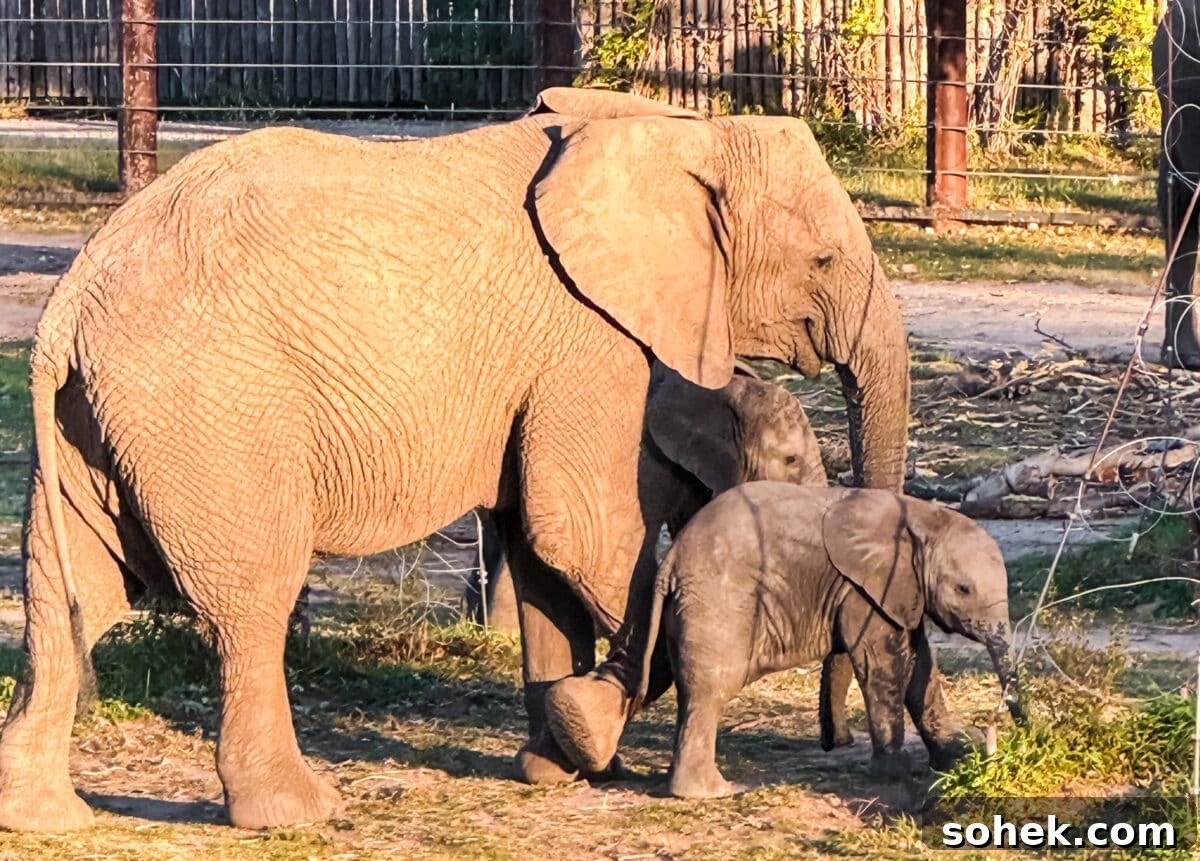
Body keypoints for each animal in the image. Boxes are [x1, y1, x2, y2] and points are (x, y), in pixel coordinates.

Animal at [3, 86, 909, 832]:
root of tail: (70, 301)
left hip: (97, 422)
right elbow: (580, 532)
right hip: (209, 407)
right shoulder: (586, 340)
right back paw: (298, 812)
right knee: (249, 599)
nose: (846, 747)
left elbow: (542, 556)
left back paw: (45, 818)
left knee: (70, 587)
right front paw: (589, 732)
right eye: (823, 261)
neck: (673, 128)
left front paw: (557, 765)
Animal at [635, 483, 1019, 798]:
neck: (921, 515)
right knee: (710, 689)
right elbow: (884, 666)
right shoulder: (863, 591)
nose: (1007, 734)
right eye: (964, 589)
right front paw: (898, 775)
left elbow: (917, 665)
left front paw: (955, 758)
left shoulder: (899, 591)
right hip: (717, 603)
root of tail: (671, 558)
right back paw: (712, 792)